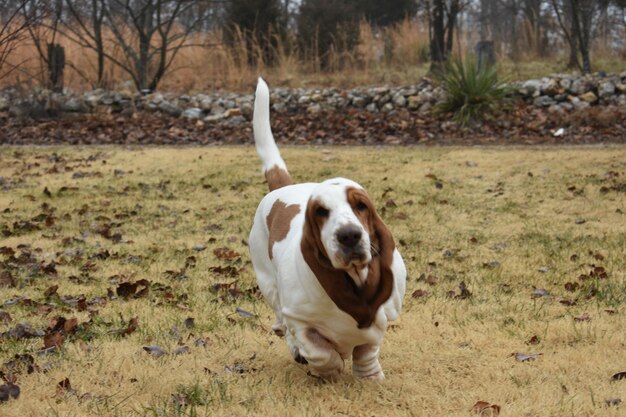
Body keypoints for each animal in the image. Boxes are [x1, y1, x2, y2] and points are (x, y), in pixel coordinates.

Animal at [249, 78, 404, 380]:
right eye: (321, 211)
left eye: (361, 206)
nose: (349, 236)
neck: (352, 279)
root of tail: (282, 187)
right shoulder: (300, 320)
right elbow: (318, 350)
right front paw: (330, 369)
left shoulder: (377, 322)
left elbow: (367, 350)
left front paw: (370, 377)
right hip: (268, 283)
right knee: (281, 322)